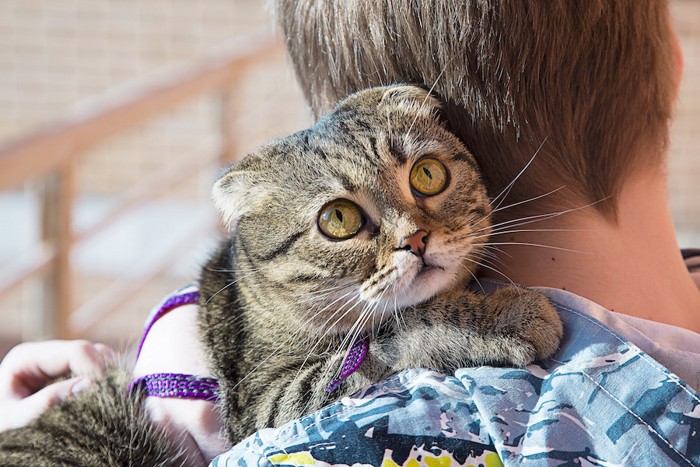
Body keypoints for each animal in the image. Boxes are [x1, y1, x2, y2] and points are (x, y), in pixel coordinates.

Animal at [0, 86, 564, 466]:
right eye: (339, 219)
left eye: (428, 174)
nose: (417, 239)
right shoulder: (268, 402)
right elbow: (400, 328)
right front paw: (507, 315)